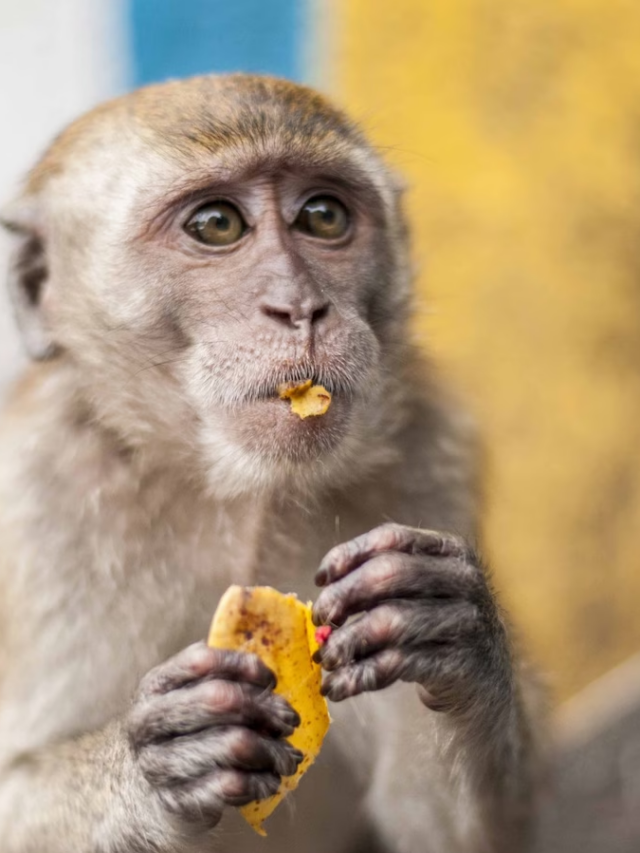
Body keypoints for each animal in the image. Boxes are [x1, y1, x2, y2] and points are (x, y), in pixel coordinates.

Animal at [0, 75, 544, 852]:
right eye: (217, 225)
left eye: (322, 215)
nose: (300, 307)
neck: (239, 489)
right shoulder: (34, 495)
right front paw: (160, 762)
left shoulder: (432, 453)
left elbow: (442, 833)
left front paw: (454, 633)